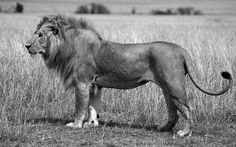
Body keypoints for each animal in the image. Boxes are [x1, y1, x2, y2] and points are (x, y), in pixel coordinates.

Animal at [24, 14, 232, 137]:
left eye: (40, 35)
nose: (26, 45)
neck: (66, 47)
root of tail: (180, 49)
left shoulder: (82, 82)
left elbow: (80, 106)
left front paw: (75, 125)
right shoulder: (95, 84)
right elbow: (93, 106)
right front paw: (92, 124)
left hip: (174, 84)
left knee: (187, 108)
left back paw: (184, 133)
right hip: (166, 87)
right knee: (173, 110)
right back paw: (163, 128)